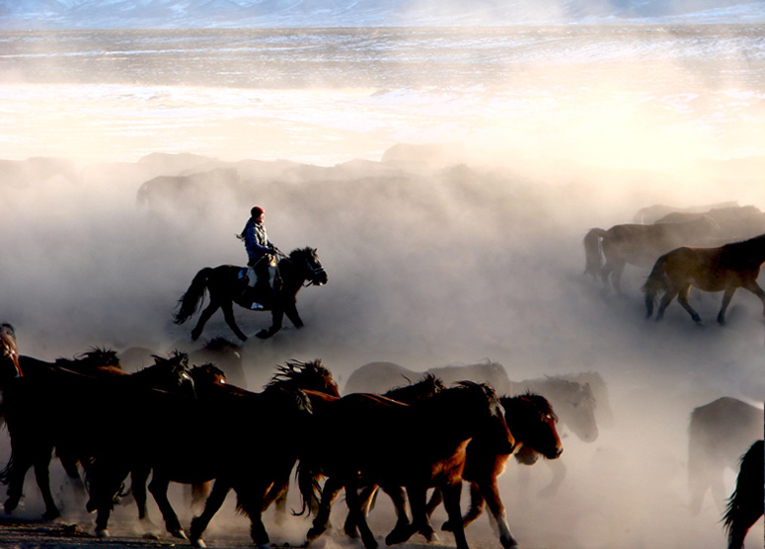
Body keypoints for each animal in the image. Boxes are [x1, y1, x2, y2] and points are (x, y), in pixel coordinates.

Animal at [173, 246, 328, 340]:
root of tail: (212, 271)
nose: (324, 278)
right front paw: (262, 334)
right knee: (211, 315)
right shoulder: (281, 307)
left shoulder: (287, 306)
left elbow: (298, 323)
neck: (284, 278)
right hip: (220, 299)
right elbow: (277, 326)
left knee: (226, 318)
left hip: (223, 300)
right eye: (313, 261)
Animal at [298, 384, 512, 549]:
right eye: (489, 416)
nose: (509, 445)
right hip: (350, 468)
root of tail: (335, 406)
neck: (438, 433)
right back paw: (366, 540)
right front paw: (396, 536)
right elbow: (419, 518)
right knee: (351, 500)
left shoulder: (451, 482)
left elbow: (455, 520)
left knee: (333, 491)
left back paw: (317, 531)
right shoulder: (415, 484)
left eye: (503, 412)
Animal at [580, 214, 720, 294]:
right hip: (616, 261)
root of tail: (606, 233)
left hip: (618, 262)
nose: (719, 230)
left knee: (610, 276)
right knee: (609, 276)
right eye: (712, 224)